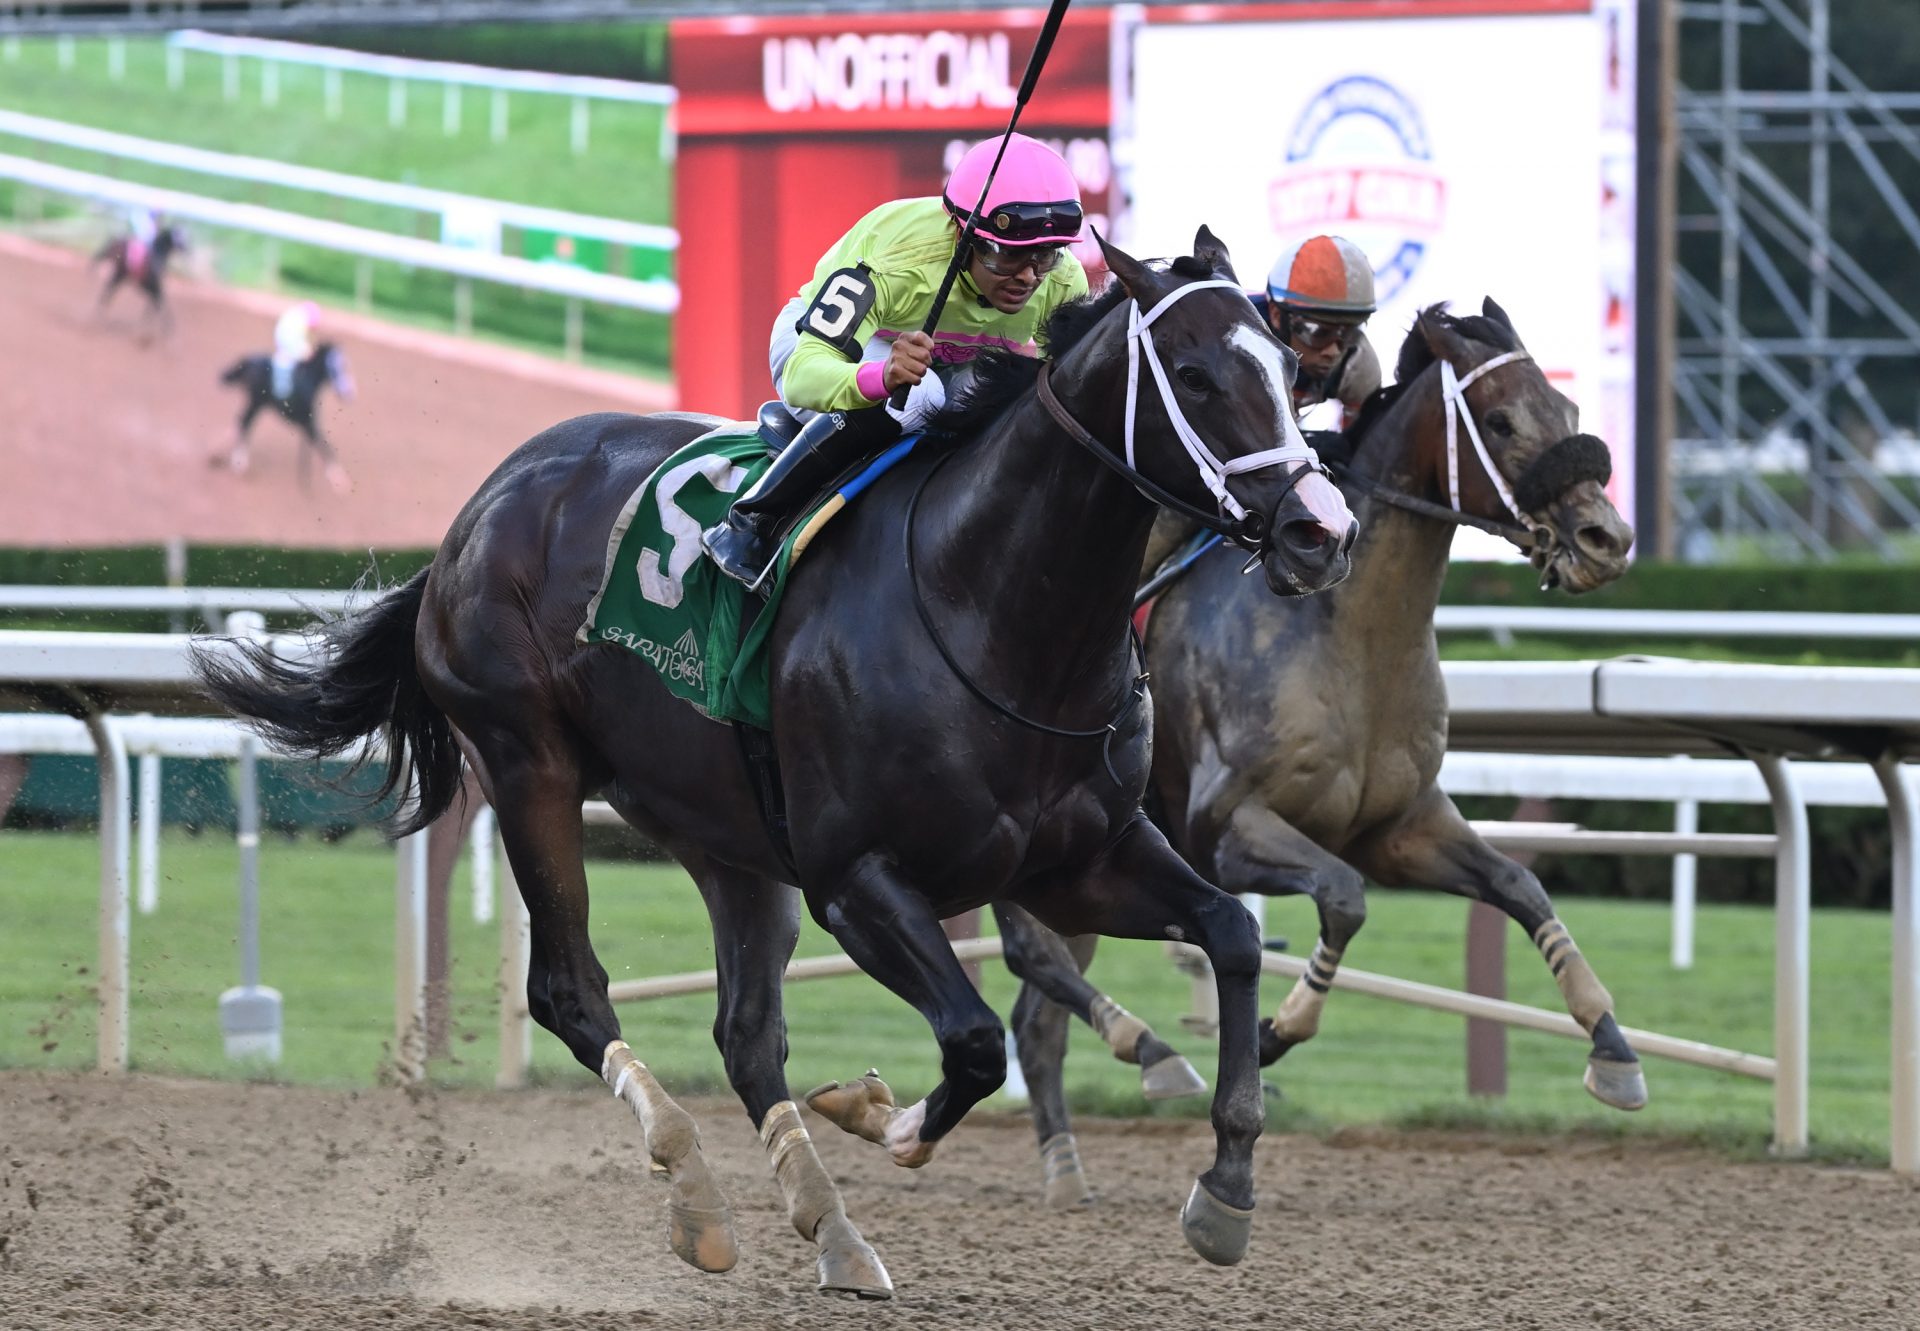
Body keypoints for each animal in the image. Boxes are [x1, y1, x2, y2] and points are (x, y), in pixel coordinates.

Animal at [214, 338, 357, 491]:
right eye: (336, 366)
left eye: (344, 365)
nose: (349, 393)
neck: (307, 381)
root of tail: (247, 361)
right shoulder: (308, 422)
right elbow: (324, 446)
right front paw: (340, 481)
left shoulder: (306, 424)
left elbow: (314, 447)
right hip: (256, 401)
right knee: (245, 422)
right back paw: (239, 463)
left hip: (255, 402)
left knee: (241, 422)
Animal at [998, 297, 1643, 1206]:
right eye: (1501, 420)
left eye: (1569, 408)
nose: (1605, 537)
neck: (1352, 637)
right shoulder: (1227, 829)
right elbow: (1343, 896)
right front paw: (1276, 1029)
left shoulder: (1401, 826)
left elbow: (1522, 886)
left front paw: (1611, 1044)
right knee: (1032, 959)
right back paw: (1147, 1049)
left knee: (1036, 1013)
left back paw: (1065, 1162)